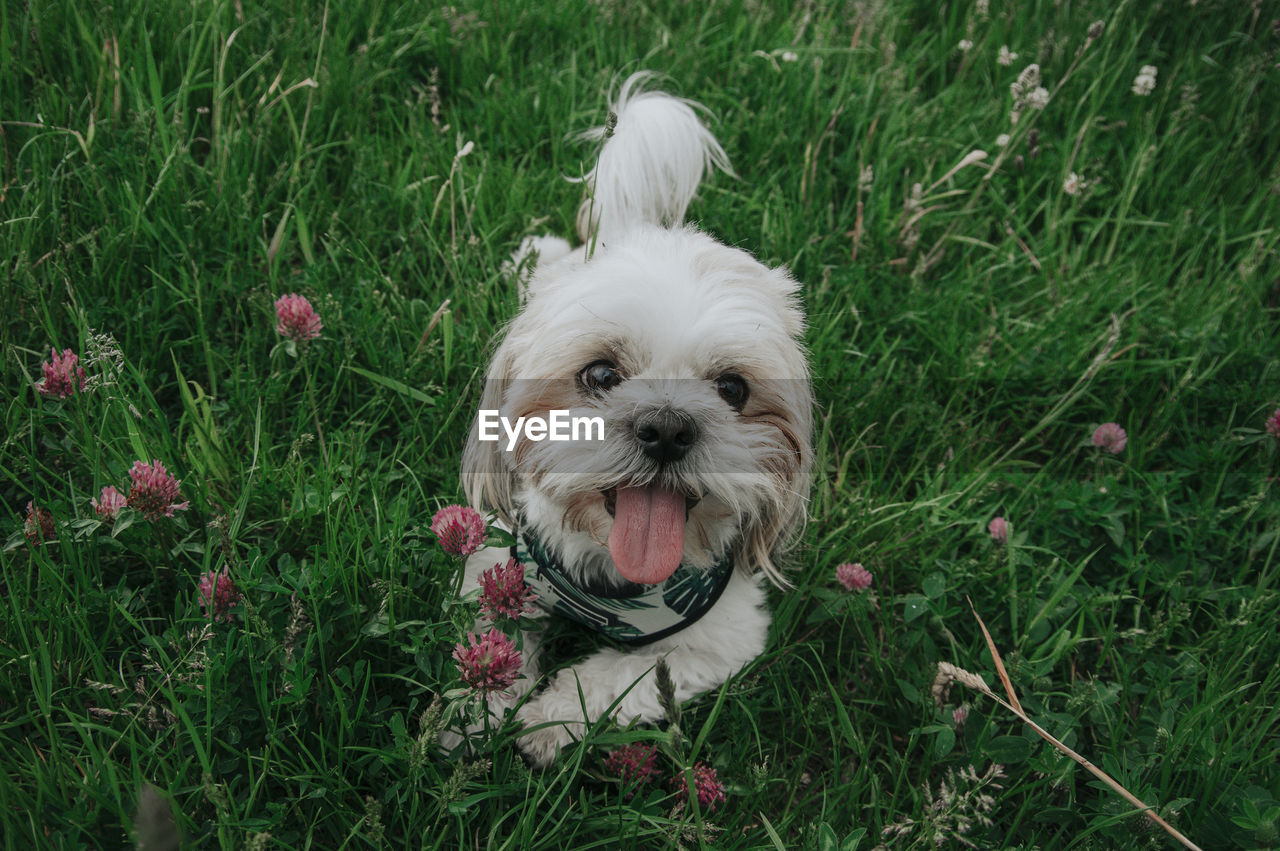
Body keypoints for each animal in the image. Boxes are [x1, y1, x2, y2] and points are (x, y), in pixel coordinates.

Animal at [455, 71, 808, 762]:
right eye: (599, 375)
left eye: (732, 387)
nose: (667, 427)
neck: (617, 577)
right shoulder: (496, 563)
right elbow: (496, 631)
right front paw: (476, 708)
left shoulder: (720, 639)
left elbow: (616, 678)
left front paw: (546, 722)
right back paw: (533, 255)